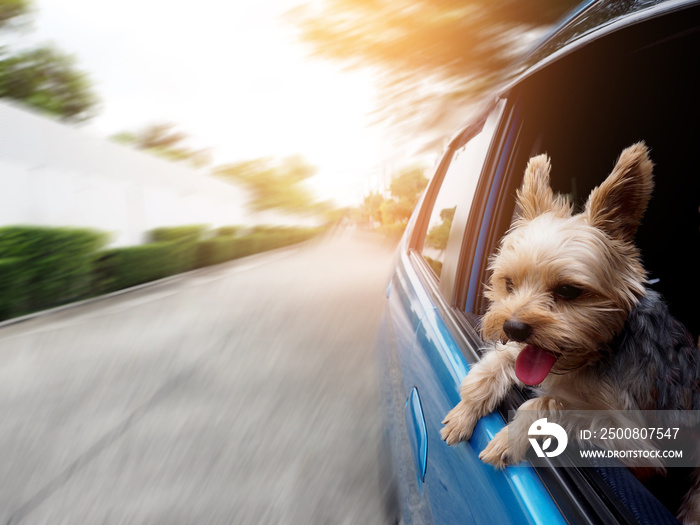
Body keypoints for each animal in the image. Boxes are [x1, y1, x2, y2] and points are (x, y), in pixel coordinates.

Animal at [442, 141, 700, 520]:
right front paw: (466, 407)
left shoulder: (640, 446)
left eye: (568, 291)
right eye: (509, 284)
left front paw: (510, 436)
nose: (513, 327)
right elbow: (502, 362)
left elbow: (551, 401)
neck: (595, 355)